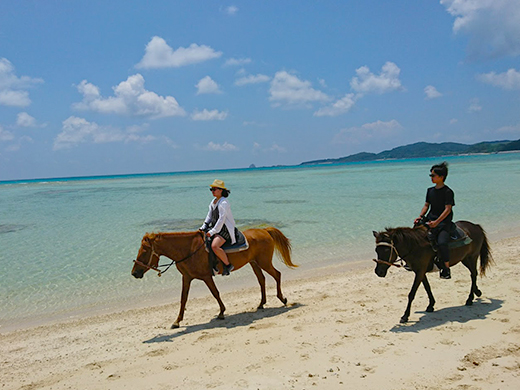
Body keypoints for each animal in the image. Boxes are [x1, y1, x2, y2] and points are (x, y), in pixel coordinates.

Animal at [130, 227, 296, 328]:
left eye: (144, 251)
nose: (134, 273)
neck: (188, 249)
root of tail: (264, 230)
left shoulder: (206, 277)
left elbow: (215, 293)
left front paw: (222, 312)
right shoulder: (187, 278)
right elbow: (183, 299)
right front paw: (177, 321)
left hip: (264, 262)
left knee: (277, 275)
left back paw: (282, 299)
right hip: (254, 263)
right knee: (261, 280)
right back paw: (261, 304)